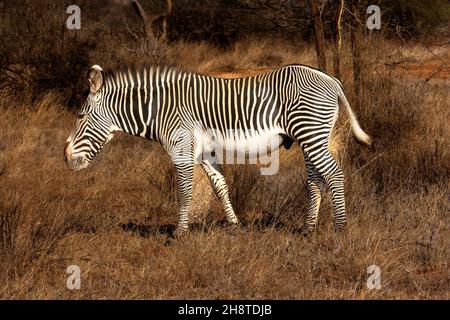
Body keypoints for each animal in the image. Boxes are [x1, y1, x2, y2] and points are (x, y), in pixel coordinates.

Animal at [64, 63, 372, 236]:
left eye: (80, 116)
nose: (65, 158)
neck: (160, 110)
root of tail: (332, 79)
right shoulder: (204, 153)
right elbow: (220, 186)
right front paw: (235, 226)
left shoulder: (182, 149)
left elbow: (185, 192)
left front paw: (179, 232)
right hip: (312, 136)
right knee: (316, 179)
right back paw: (309, 229)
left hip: (311, 132)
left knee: (334, 175)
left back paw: (340, 229)